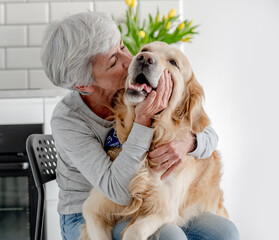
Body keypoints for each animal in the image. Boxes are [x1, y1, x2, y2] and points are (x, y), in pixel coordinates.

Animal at [80, 41, 229, 240]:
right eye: (145, 50)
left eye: (173, 62)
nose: (144, 59)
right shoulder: (94, 206)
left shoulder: (165, 208)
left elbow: (134, 230)